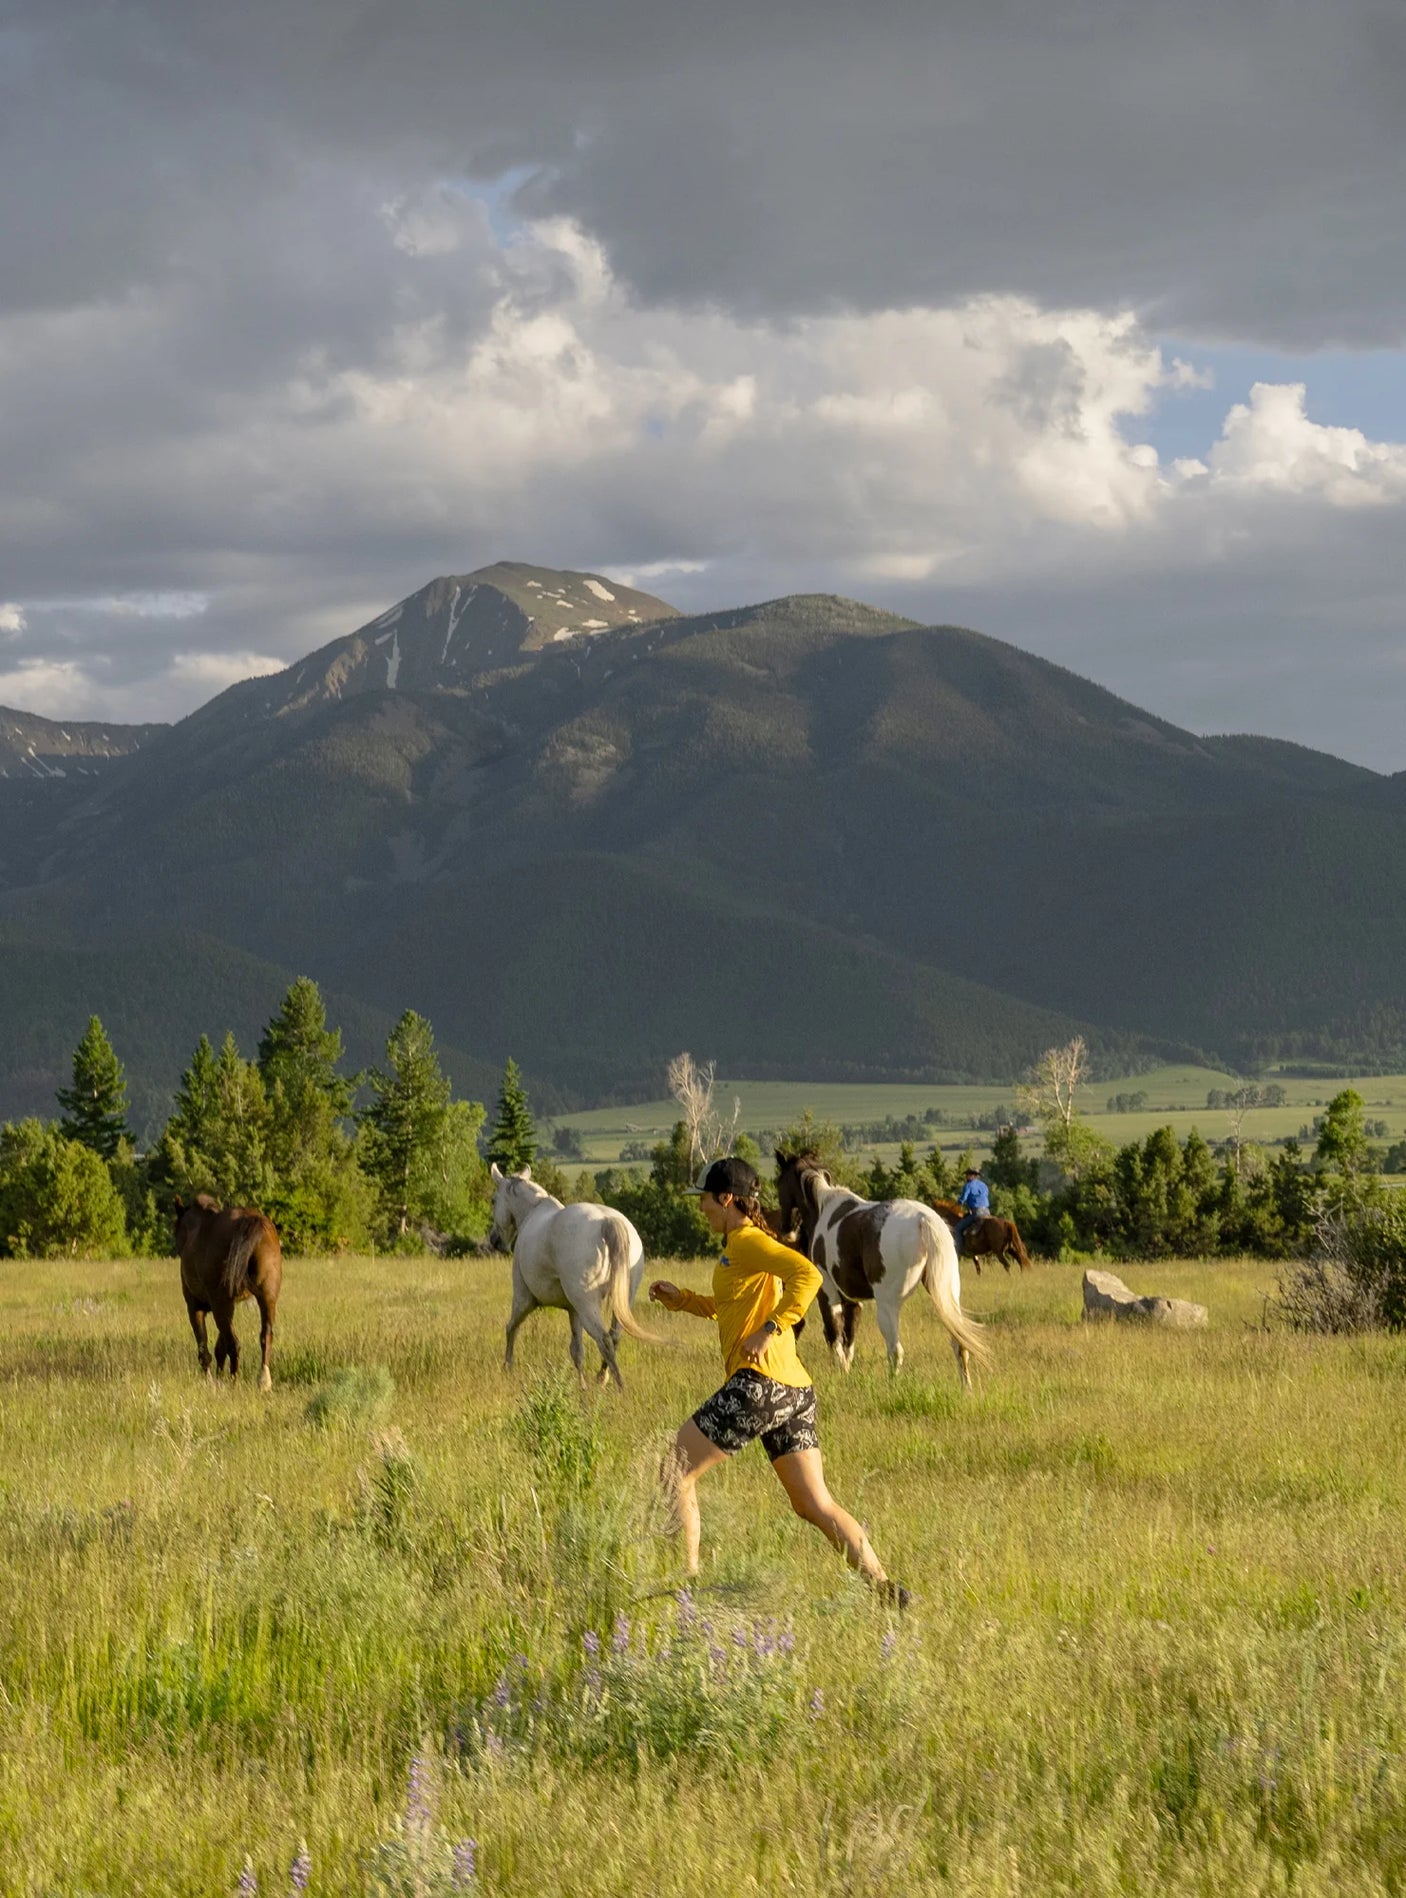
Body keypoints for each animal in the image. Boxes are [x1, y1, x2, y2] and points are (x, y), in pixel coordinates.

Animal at [173, 1194, 282, 1390]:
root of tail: (251, 1220)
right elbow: (219, 1347)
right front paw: (218, 1376)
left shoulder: (195, 1306)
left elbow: (204, 1348)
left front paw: (210, 1379)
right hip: (267, 1296)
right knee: (265, 1335)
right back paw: (263, 1381)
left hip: (220, 1303)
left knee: (234, 1343)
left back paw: (233, 1381)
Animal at [489, 1164, 655, 1388]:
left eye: (493, 1200)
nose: (494, 1241)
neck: (531, 1213)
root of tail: (608, 1222)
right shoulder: (573, 1310)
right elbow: (577, 1351)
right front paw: (582, 1386)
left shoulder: (524, 1299)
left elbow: (511, 1327)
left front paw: (507, 1366)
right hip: (621, 1300)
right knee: (615, 1337)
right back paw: (602, 1377)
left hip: (587, 1305)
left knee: (604, 1339)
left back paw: (618, 1386)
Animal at [776, 1150, 989, 1390]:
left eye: (778, 1183)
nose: (786, 1231)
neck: (824, 1209)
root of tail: (924, 1220)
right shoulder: (853, 1301)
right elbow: (849, 1340)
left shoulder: (828, 1295)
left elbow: (836, 1337)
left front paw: (841, 1374)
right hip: (948, 1295)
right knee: (959, 1344)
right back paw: (966, 1389)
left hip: (888, 1305)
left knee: (896, 1351)